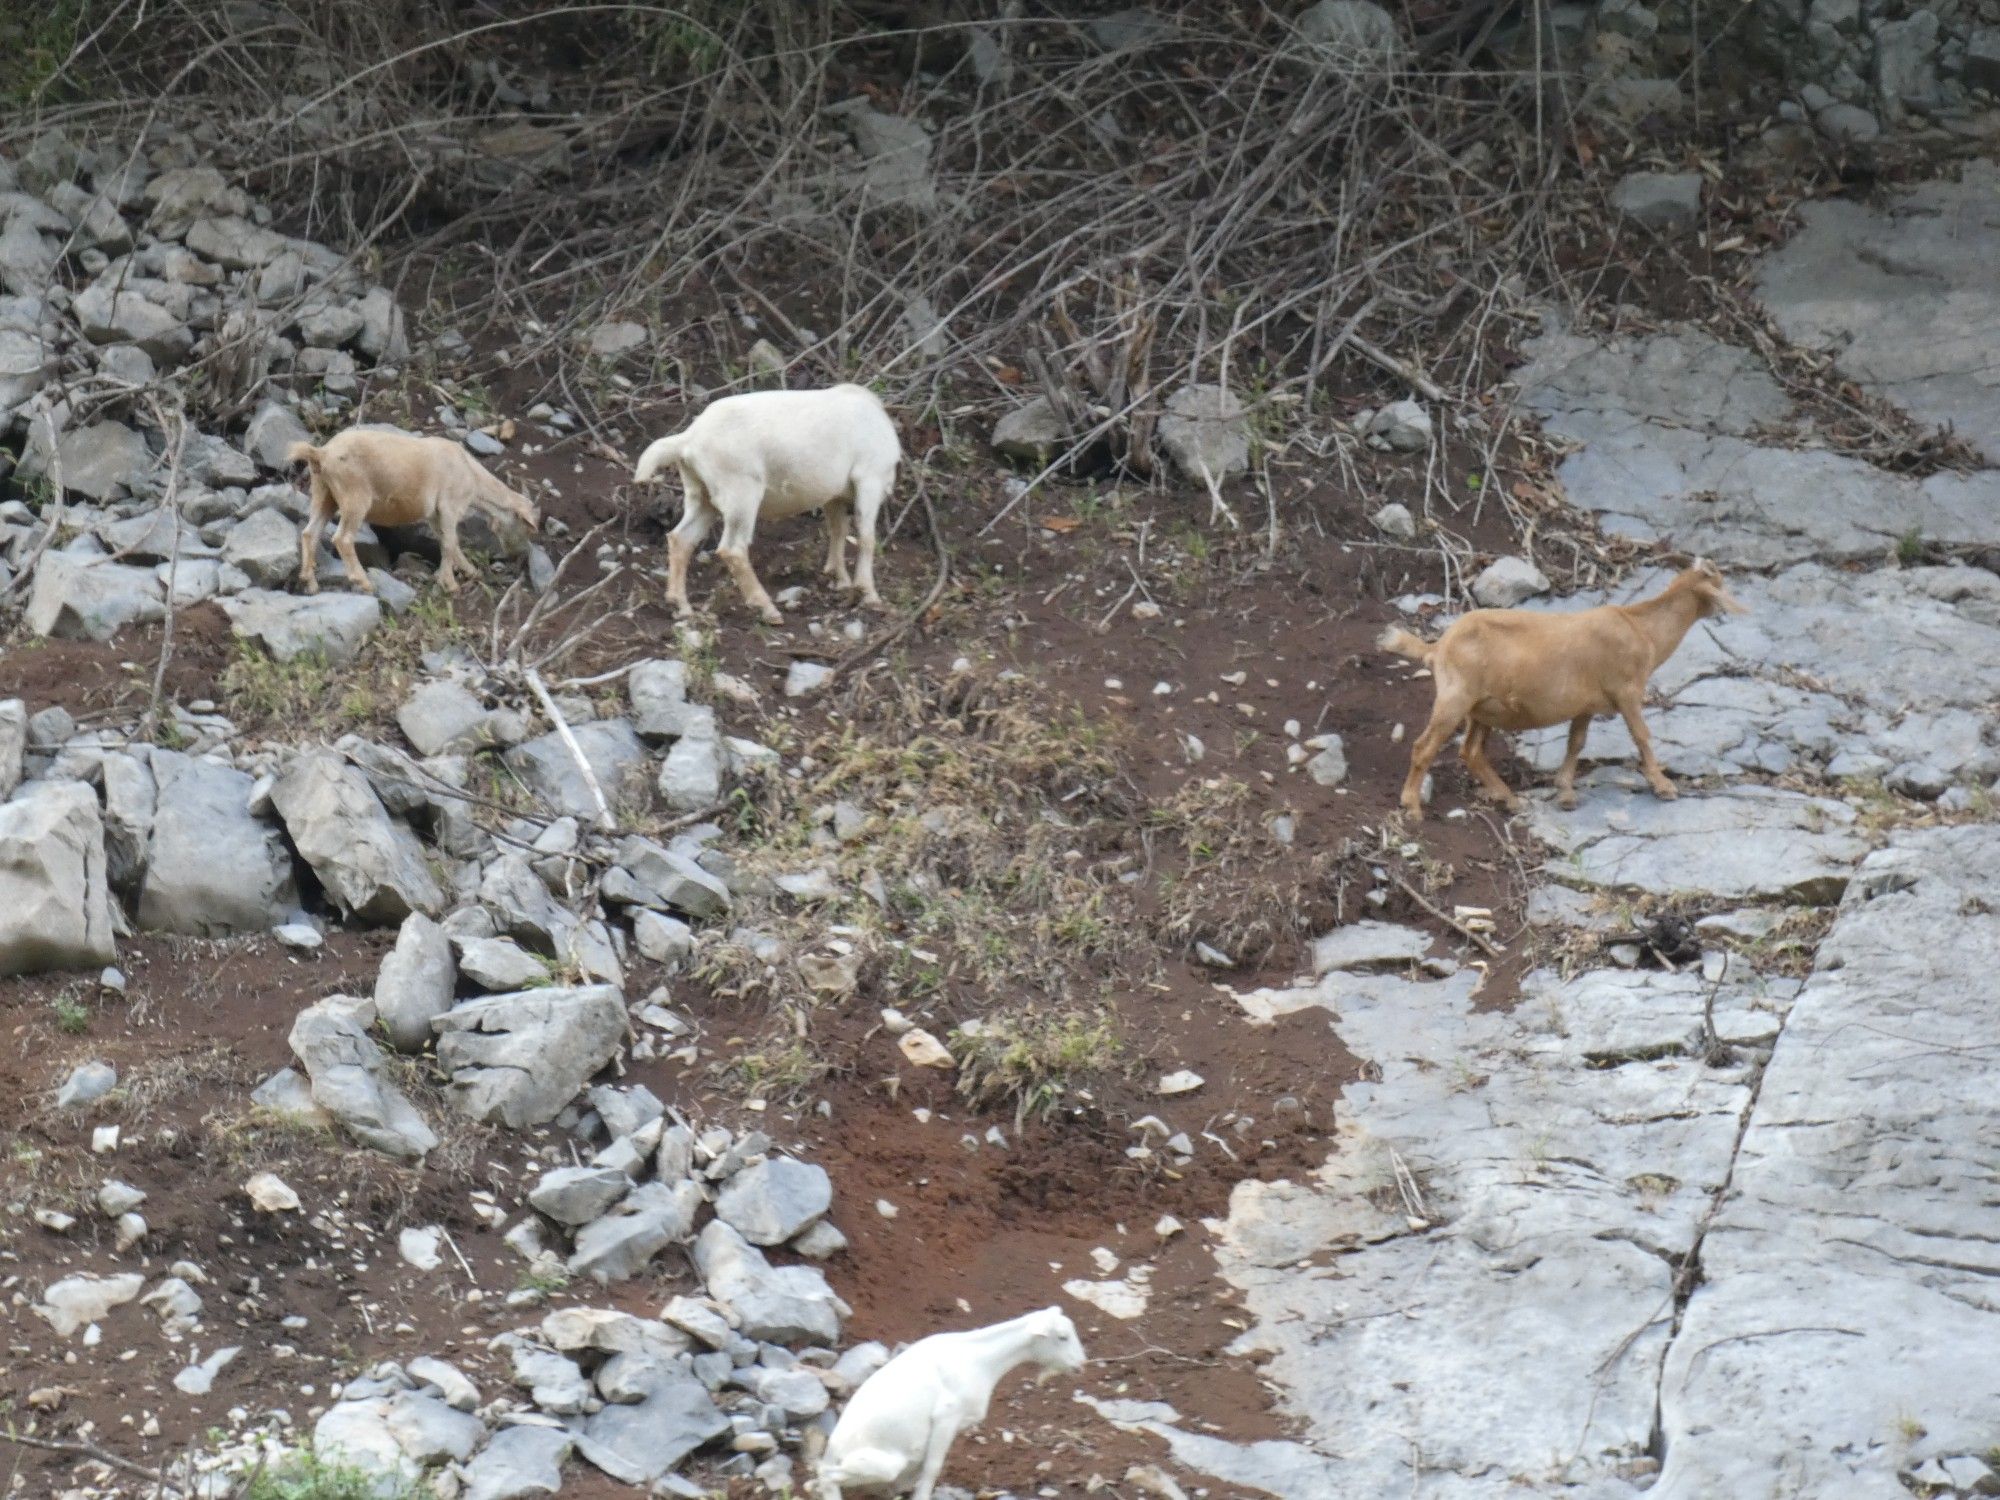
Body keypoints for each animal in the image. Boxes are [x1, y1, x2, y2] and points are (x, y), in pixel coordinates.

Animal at [288, 426, 540, 596]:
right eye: (527, 528)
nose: (516, 555)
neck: (472, 475)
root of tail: (322, 453)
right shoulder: (450, 506)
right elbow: (450, 543)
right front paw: (450, 584)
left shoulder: (435, 516)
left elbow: (447, 543)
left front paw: (470, 572)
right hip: (355, 498)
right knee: (343, 538)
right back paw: (363, 582)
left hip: (324, 494)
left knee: (310, 533)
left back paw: (310, 583)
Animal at [628, 388, 904, 628]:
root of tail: (688, 440)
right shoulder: (869, 478)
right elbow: (866, 537)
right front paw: (868, 594)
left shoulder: (834, 496)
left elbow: (838, 531)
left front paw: (841, 581)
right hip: (742, 495)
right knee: (732, 549)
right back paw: (768, 609)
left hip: (701, 495)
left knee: (681, 538)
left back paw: (681, 605)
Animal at [816, 1304, 1088, 1500]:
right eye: (1062, 1337)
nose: (1080, 1364)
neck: (978, 1360)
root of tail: (832, 1450)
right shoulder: (946, 1417)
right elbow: (933, 1467)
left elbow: (918, 1469)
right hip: (882, 1463)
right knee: (825, 1477)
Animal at [1384, 560, 1744, 824]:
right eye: (1720, 583)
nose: (1728, 613)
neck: (1642, 630)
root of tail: (1438, 646)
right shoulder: (1626, 691)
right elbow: (1641, 734)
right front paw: (1663, 786)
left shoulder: (1586, 706)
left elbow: (1576, 743)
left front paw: (1565, 791)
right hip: (1454, 699)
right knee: (1424, 746)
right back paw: (1412, 806)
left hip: (1481, 709)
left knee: (1470, 752)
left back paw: (1510, 799)